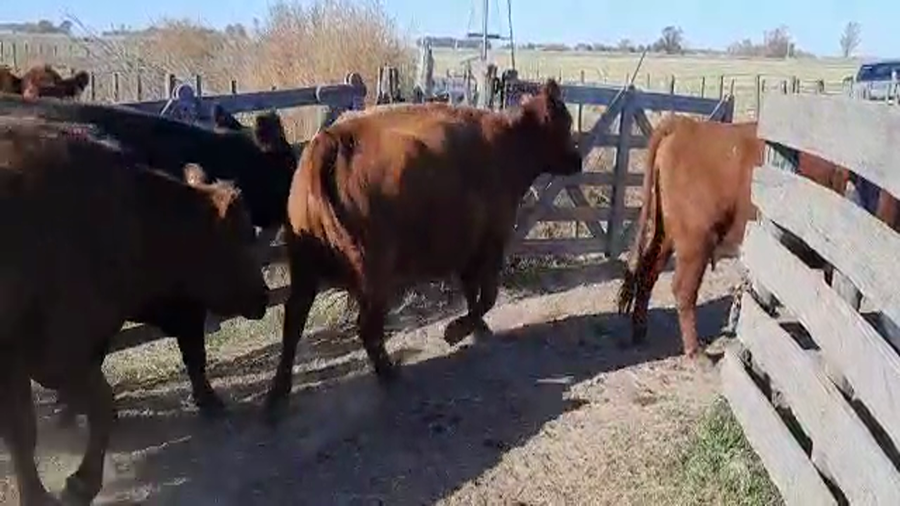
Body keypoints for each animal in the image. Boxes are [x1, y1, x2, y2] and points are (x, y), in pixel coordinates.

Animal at [0, 116, 268, 505]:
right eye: (243, 235)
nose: (263, 296)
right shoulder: (58, 351)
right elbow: (91, 410)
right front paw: (75, 487)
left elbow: (24, 431)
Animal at [262, 79, 582, 423]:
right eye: (565, 123)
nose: (578, 159)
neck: (507, 142)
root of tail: (331, 141)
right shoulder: (492, 243)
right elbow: (487, 296)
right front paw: (456, 331)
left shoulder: (468, 251)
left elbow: (473, 293)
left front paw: (476, 329)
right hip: (373, 273)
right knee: (366, 325)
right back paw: (389, 373)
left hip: (304, 269)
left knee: (294, 321)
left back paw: (278, 395)